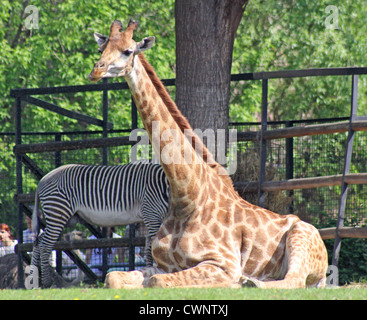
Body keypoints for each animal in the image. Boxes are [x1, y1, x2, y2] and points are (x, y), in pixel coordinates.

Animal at [30, 160, 170, 288]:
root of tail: (42, 180)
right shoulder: (151, 215)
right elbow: (152, 248)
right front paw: (155, 273)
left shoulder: (149, 219)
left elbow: (148, 249)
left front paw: (149, 273)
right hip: (58, 212)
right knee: (45, 245)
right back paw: (46, 283)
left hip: (64, 218)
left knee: (38, 242)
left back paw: (33, 281)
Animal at [88, 20, 328, 288]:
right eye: (101, 49)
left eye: (128, 51)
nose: (96, 71)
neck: (186, 196)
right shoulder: (161, 265)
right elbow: (113, 277)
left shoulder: (223, 264)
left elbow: (157, 282)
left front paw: (235, 283)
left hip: (300, 237)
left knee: (293, 280)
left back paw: (248, 282)